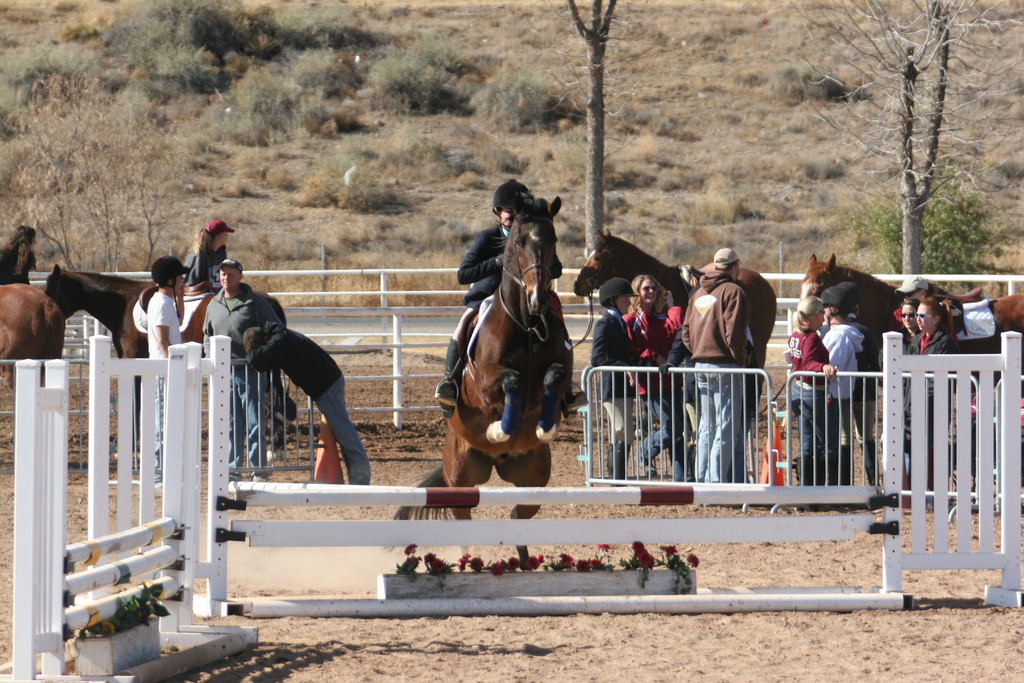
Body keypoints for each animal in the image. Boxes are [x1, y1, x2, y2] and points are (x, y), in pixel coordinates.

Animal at [395, 196, 573, 561]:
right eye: (518, 241)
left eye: (553, 241)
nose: (537, 299)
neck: (527, 325)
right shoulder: (486, 383)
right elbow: (512, 382)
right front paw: (499, 429)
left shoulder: (559, 368)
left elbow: (554, 377)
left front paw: (544, 426)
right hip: (461, 477)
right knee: (465, 518)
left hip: (535, 477)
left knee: (519, 513)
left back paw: (523, 557)